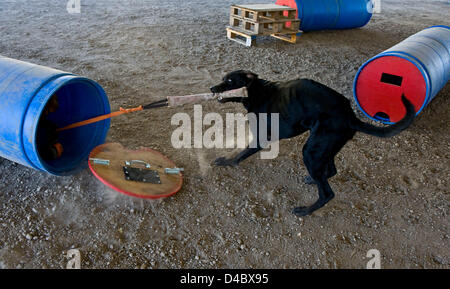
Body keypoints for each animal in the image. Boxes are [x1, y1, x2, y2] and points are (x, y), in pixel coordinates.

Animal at [211, 70, 414, 215]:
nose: (212, 88)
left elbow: (240, 155)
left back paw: (306, 210)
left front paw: (226, 161)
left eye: (230, 81)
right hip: (322, 148)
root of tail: (350, 116)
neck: (257, 92)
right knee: (331, 170)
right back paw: (312, 179)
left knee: (327, 193)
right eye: (223, 79)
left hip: (311, 151)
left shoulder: (261, 138)